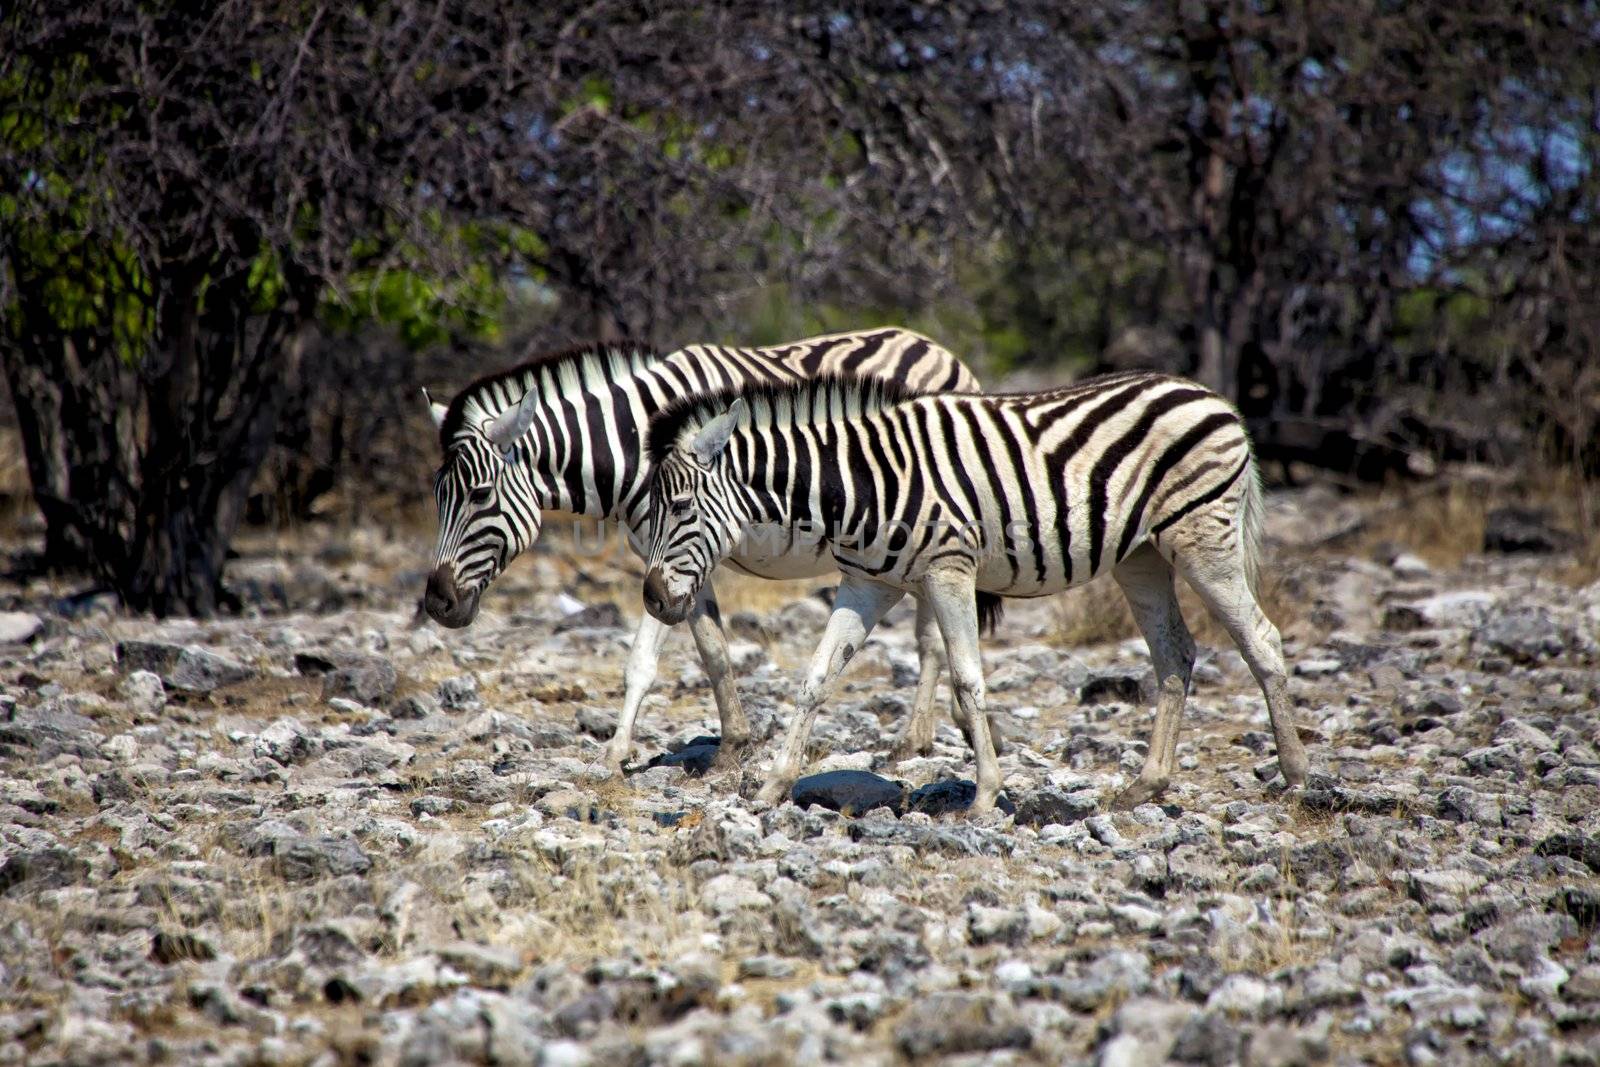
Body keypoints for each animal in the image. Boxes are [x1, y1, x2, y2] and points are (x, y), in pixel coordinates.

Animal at [419, 329, 992, 771]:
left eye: (479, 495)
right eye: (437, 497)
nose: (437, 604)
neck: (635, 445)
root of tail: (939, 348)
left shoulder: (682, 545)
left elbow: (649, 658)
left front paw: (618, 752)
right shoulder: (675, 560)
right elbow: (710, 651)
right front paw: (731, 743)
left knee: (930, 638)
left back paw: (916, 739)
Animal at [636, 371, 1312, 812]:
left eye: (678, 507)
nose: (652, 600)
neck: (856, 485)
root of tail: (1212, 396)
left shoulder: (949, 570)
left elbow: (968, 678)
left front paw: (985, 795)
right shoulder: (866, 583)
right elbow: (815, 679)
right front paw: (774, 784)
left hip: (1203, 537)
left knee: (1261, 638)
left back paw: (1297, 775)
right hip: (1140, 556)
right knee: (1175, 652)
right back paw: (1147, 786)